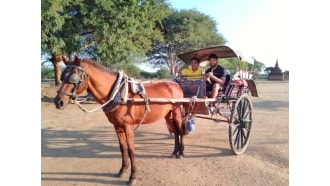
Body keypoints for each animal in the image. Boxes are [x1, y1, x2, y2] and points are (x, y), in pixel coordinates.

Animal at [54, 55, 188, 185]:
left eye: (74, 78)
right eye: (62, 76)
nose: (58, 102)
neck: (119, 94)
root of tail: (175, 85)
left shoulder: (128, 126)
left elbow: (131, 150)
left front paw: (133, 177)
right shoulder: (117, 126)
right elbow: (122, 148)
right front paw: (123, 170)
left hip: (176, 113)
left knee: (180, 131)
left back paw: (180, 153)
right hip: (168, 116)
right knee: (176, 132)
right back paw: (174, 152)